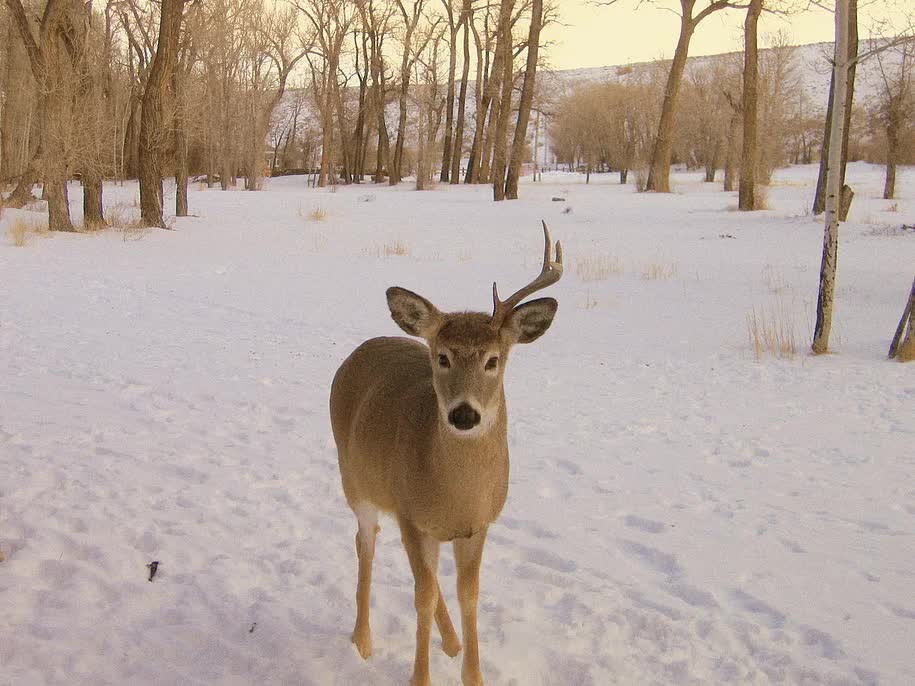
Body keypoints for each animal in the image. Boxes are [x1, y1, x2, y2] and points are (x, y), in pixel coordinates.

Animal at [329, 223, 562, 686]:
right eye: (441, 357)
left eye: (493, 360)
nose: (464, 414)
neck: (456, 493)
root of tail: (358, 351)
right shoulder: (410, 513)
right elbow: (421, 596)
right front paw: (420, 678)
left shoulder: (477, 524)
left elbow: (466, 595)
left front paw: (473, 674)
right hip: (356, 482)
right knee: (366, 544)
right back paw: (362, 640)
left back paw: (452, 642)